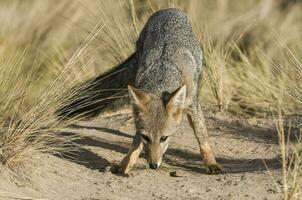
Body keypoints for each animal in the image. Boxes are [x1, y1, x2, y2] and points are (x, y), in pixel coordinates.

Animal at [57, 8, 222, 173]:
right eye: (146, 138)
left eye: (164, 138)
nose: (153, 165)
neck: (163, 75)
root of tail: (169, 10)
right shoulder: (140, 127)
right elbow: (135, 144)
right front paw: (125, 164)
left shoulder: (192, 105)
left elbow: (202, 134)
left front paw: (211, 162)